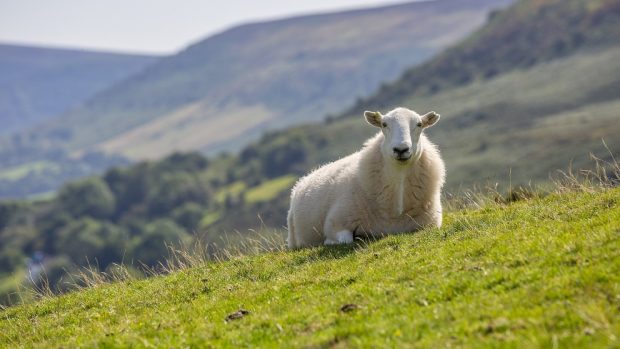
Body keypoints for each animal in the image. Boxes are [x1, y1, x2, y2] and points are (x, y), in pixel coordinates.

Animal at [288, 106, 444, 247]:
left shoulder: (431, 223)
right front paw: (329, 241)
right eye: (384, 124)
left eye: (419, 124)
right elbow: (345, 240)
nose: (401, 149)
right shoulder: (335, 222)